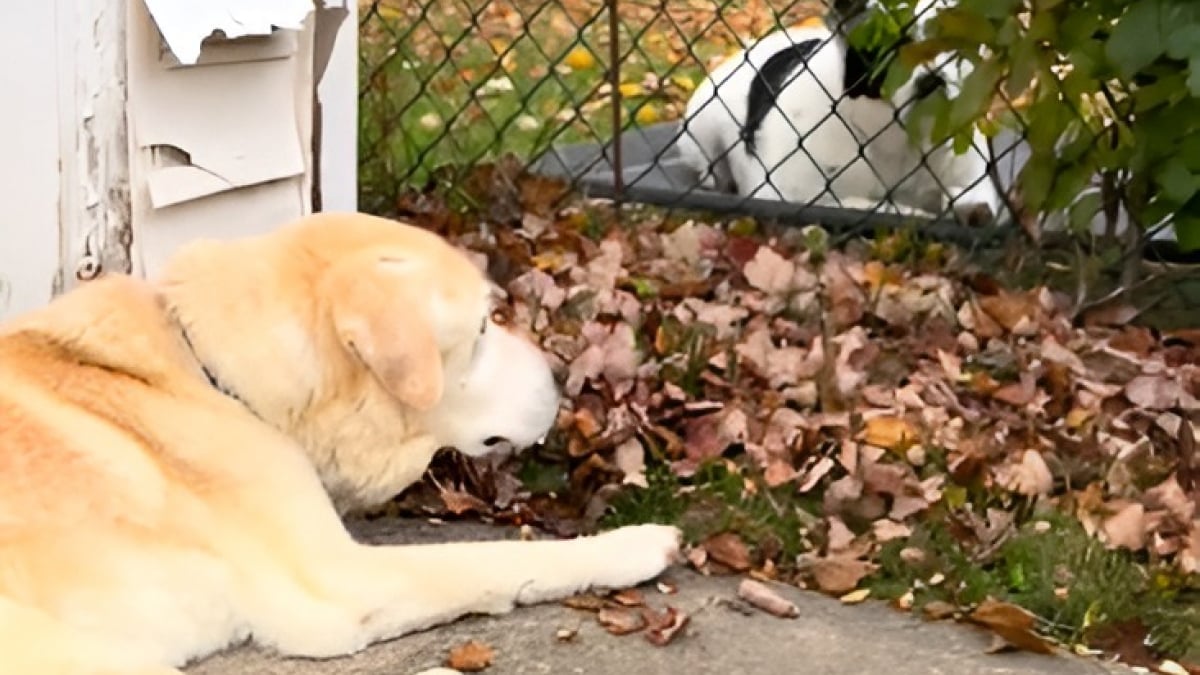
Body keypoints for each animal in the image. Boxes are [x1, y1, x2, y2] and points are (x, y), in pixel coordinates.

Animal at [0, 211, 681, 672]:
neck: (210, 371)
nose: (565, 377)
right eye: (485, 328)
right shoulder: (339, 579)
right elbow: (505, 558)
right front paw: (634, 543)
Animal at [681, 0, 1008, 225]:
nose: (932, 80)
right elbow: (864, 205)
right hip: (700, 127)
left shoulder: (974, 181)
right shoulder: (787, 195)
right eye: (883, 47)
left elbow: (970, 196)